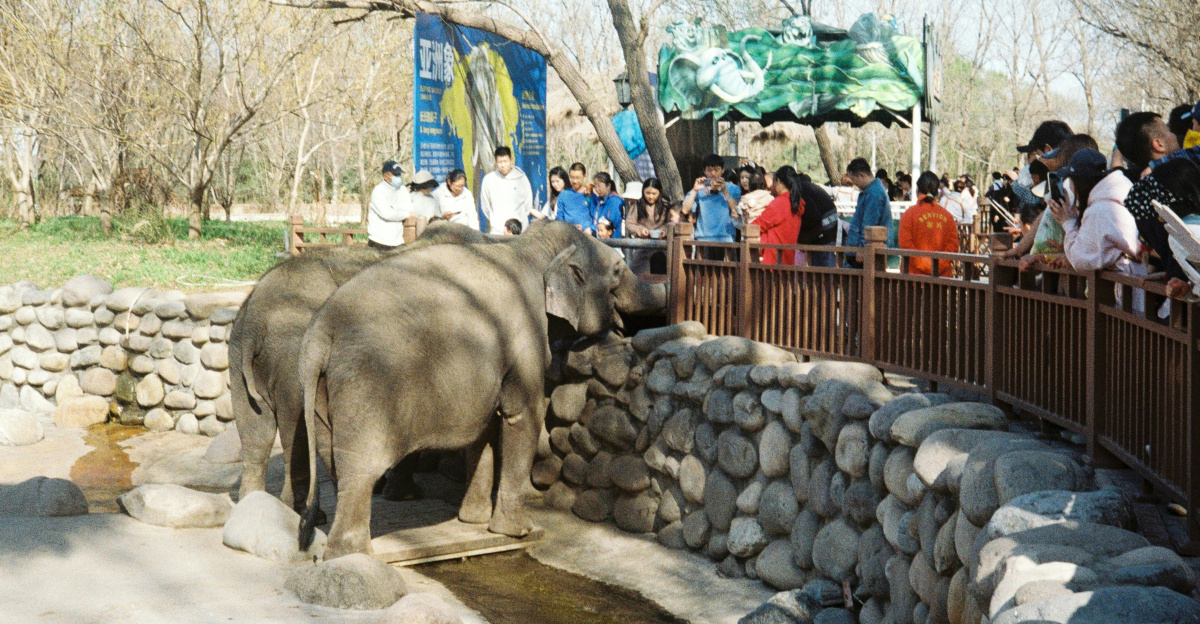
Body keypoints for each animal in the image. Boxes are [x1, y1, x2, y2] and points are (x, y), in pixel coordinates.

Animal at [229, 222, 491, 514]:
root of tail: (256, 316)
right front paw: (406, 495)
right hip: (289, 358)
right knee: (296, 439)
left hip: (238, 358)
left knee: (255, 437)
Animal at [296, 220, 664, 558]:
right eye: (617, 270)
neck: (531, 249)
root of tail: (321, 330)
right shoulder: (526, 337)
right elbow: (523, 416)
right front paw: (518, 531)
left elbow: (484, 427)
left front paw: (472, 521)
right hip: (367, 383)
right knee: (360, 469)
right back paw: (354, 559)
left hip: (324, 387)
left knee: (332, 459)